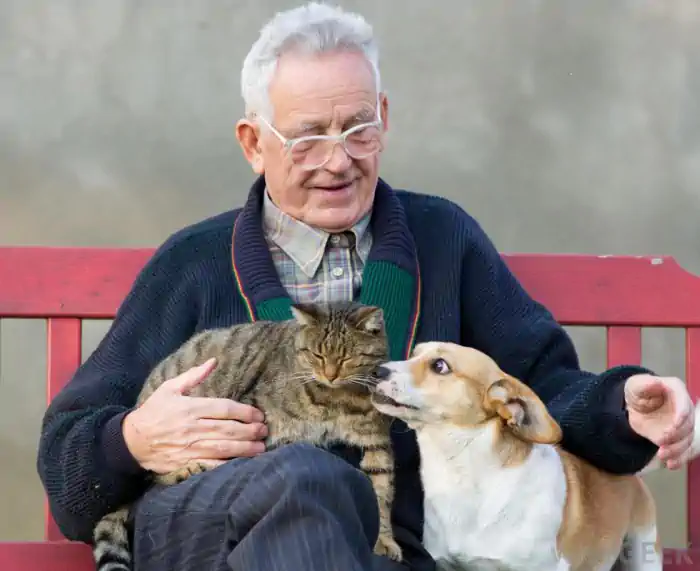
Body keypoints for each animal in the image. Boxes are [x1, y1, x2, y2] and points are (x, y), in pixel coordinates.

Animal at [93, 302, 402, 568]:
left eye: (348, 357)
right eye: (317, 354)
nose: (330, 375)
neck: (338, 398)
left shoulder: (376, 443)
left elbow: (382, 494)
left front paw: (384, 539)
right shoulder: (252, 417)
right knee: (152, 475)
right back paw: (186, 469)